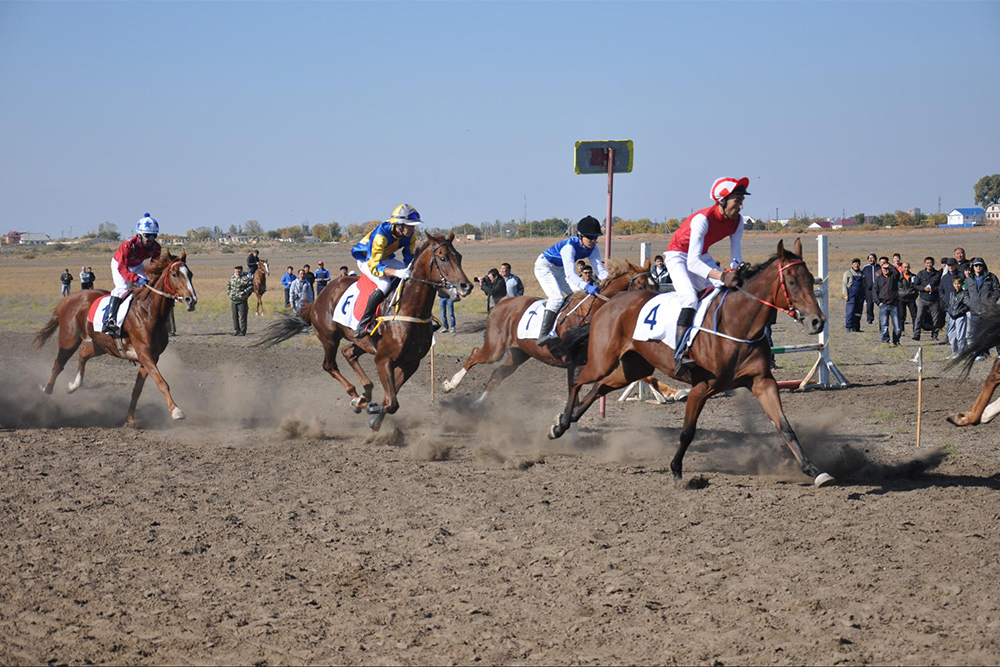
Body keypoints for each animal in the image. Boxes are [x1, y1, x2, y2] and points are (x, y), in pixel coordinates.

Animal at [32, 250, 199, 428]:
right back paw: (47, 388)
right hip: (69, 339)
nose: (191, 300)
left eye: (190, 274)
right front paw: (176, 411)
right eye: (175, 274)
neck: (148, 312)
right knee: (58, 364)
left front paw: (130, 419)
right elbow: (162, 382)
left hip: (102, 344)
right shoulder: (144, 353)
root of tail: (69, 298)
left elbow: (137, 390)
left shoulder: (151, 357)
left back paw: (73, 386)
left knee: (83, 352)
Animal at [258, 232, 476, 434]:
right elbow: (391, 402)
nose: (466, 286)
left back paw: (364, 394)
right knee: (329, 365)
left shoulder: (411, 362)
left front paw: (375, 418)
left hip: (362, 342)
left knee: (348, 353)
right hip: (329, 338)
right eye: (443, 257)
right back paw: (357, 398)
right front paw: (372, 409)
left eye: (459, 256)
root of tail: (320, 296)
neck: (408, 309)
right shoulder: (383, 359)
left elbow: (391, 398)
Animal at [444, 260, 688, 408]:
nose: (656, 312)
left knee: (497, 375)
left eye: (656, 286)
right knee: (475, 354)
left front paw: (672, 393)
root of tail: (502, 303)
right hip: (495, 347)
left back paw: (478, 403)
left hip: (518, 352)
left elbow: (644, 374)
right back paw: (450, 385)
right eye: (641, 286)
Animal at [548, 239, 836, 486]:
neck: (736, 324)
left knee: (599, 387)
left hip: (633, 368)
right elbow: (687, 431)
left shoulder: (762, 382)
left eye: (810, 279)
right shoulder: (701, 387)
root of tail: (609, 303)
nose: (817, 321)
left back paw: (567, 421)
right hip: (603, 359)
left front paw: (814, 470)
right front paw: (676, 469)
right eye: (791, 281)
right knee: (578, 381)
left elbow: (785, 427)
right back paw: (560, 424)